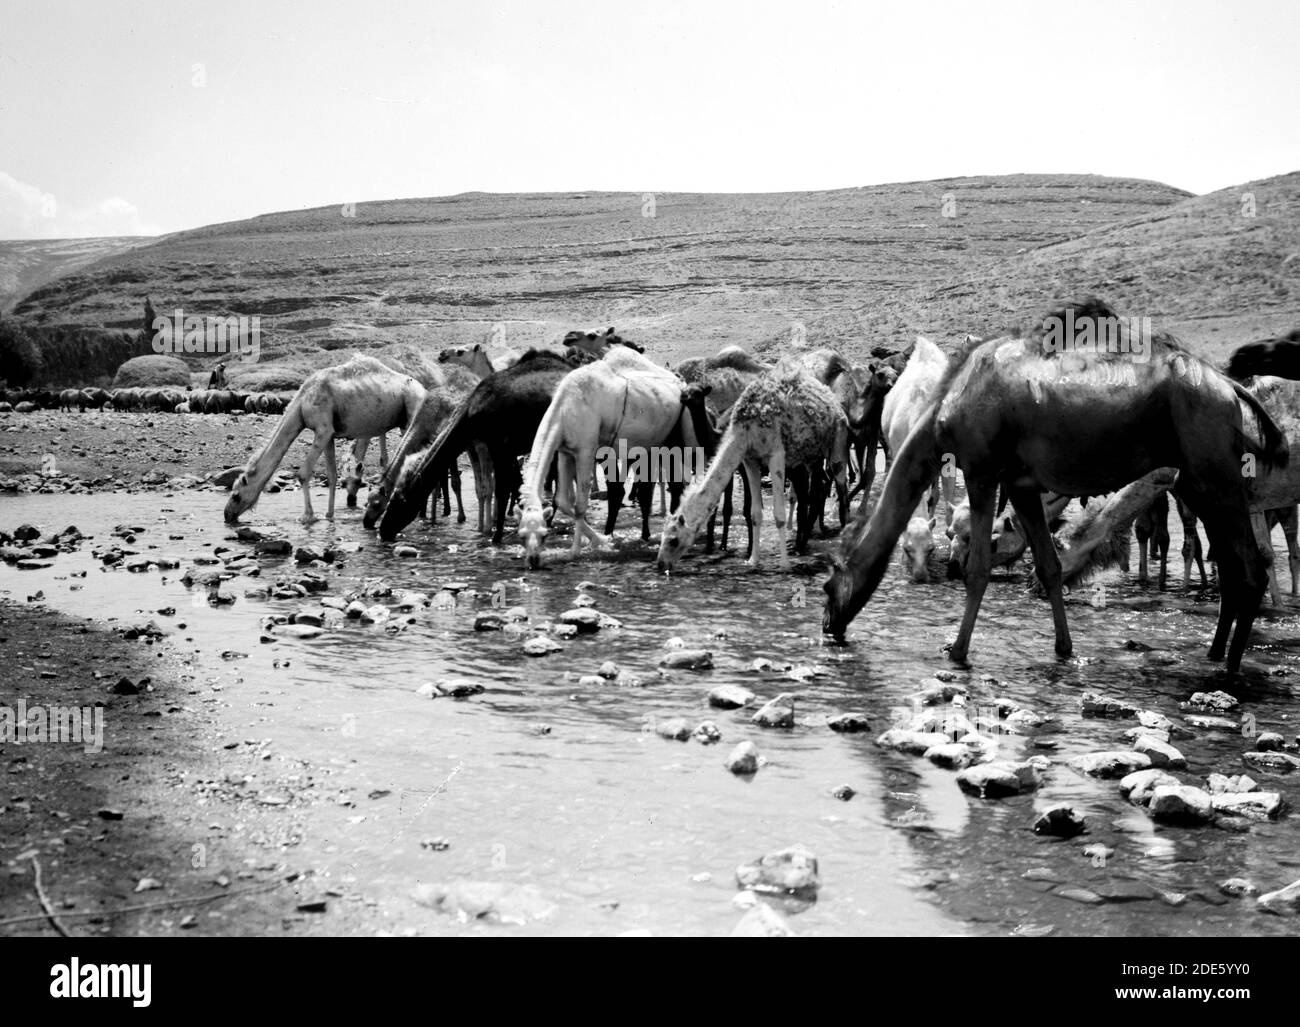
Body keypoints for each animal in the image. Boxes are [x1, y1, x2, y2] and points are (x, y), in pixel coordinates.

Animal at [226, 358, 423, 527]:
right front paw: (329, 515)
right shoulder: (329, 435)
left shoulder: (323, 429)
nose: (227, 515)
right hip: (402, 422)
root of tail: (423, 389)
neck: (301, 404)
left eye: (236, 495)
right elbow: (332, 475)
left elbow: (303, 473)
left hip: (411, 414)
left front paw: (307, 516)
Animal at [517, 351, 702, 566]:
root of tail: (680, 382)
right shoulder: (565, 451)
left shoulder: (586, 450)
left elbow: (580, 505)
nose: (533, 560)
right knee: (668, 485)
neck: (564, 410)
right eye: (521, 536)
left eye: (544, 535)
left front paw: (576, 551)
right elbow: (561, 500)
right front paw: (602, 539)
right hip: (660, 442)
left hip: (685, 427)